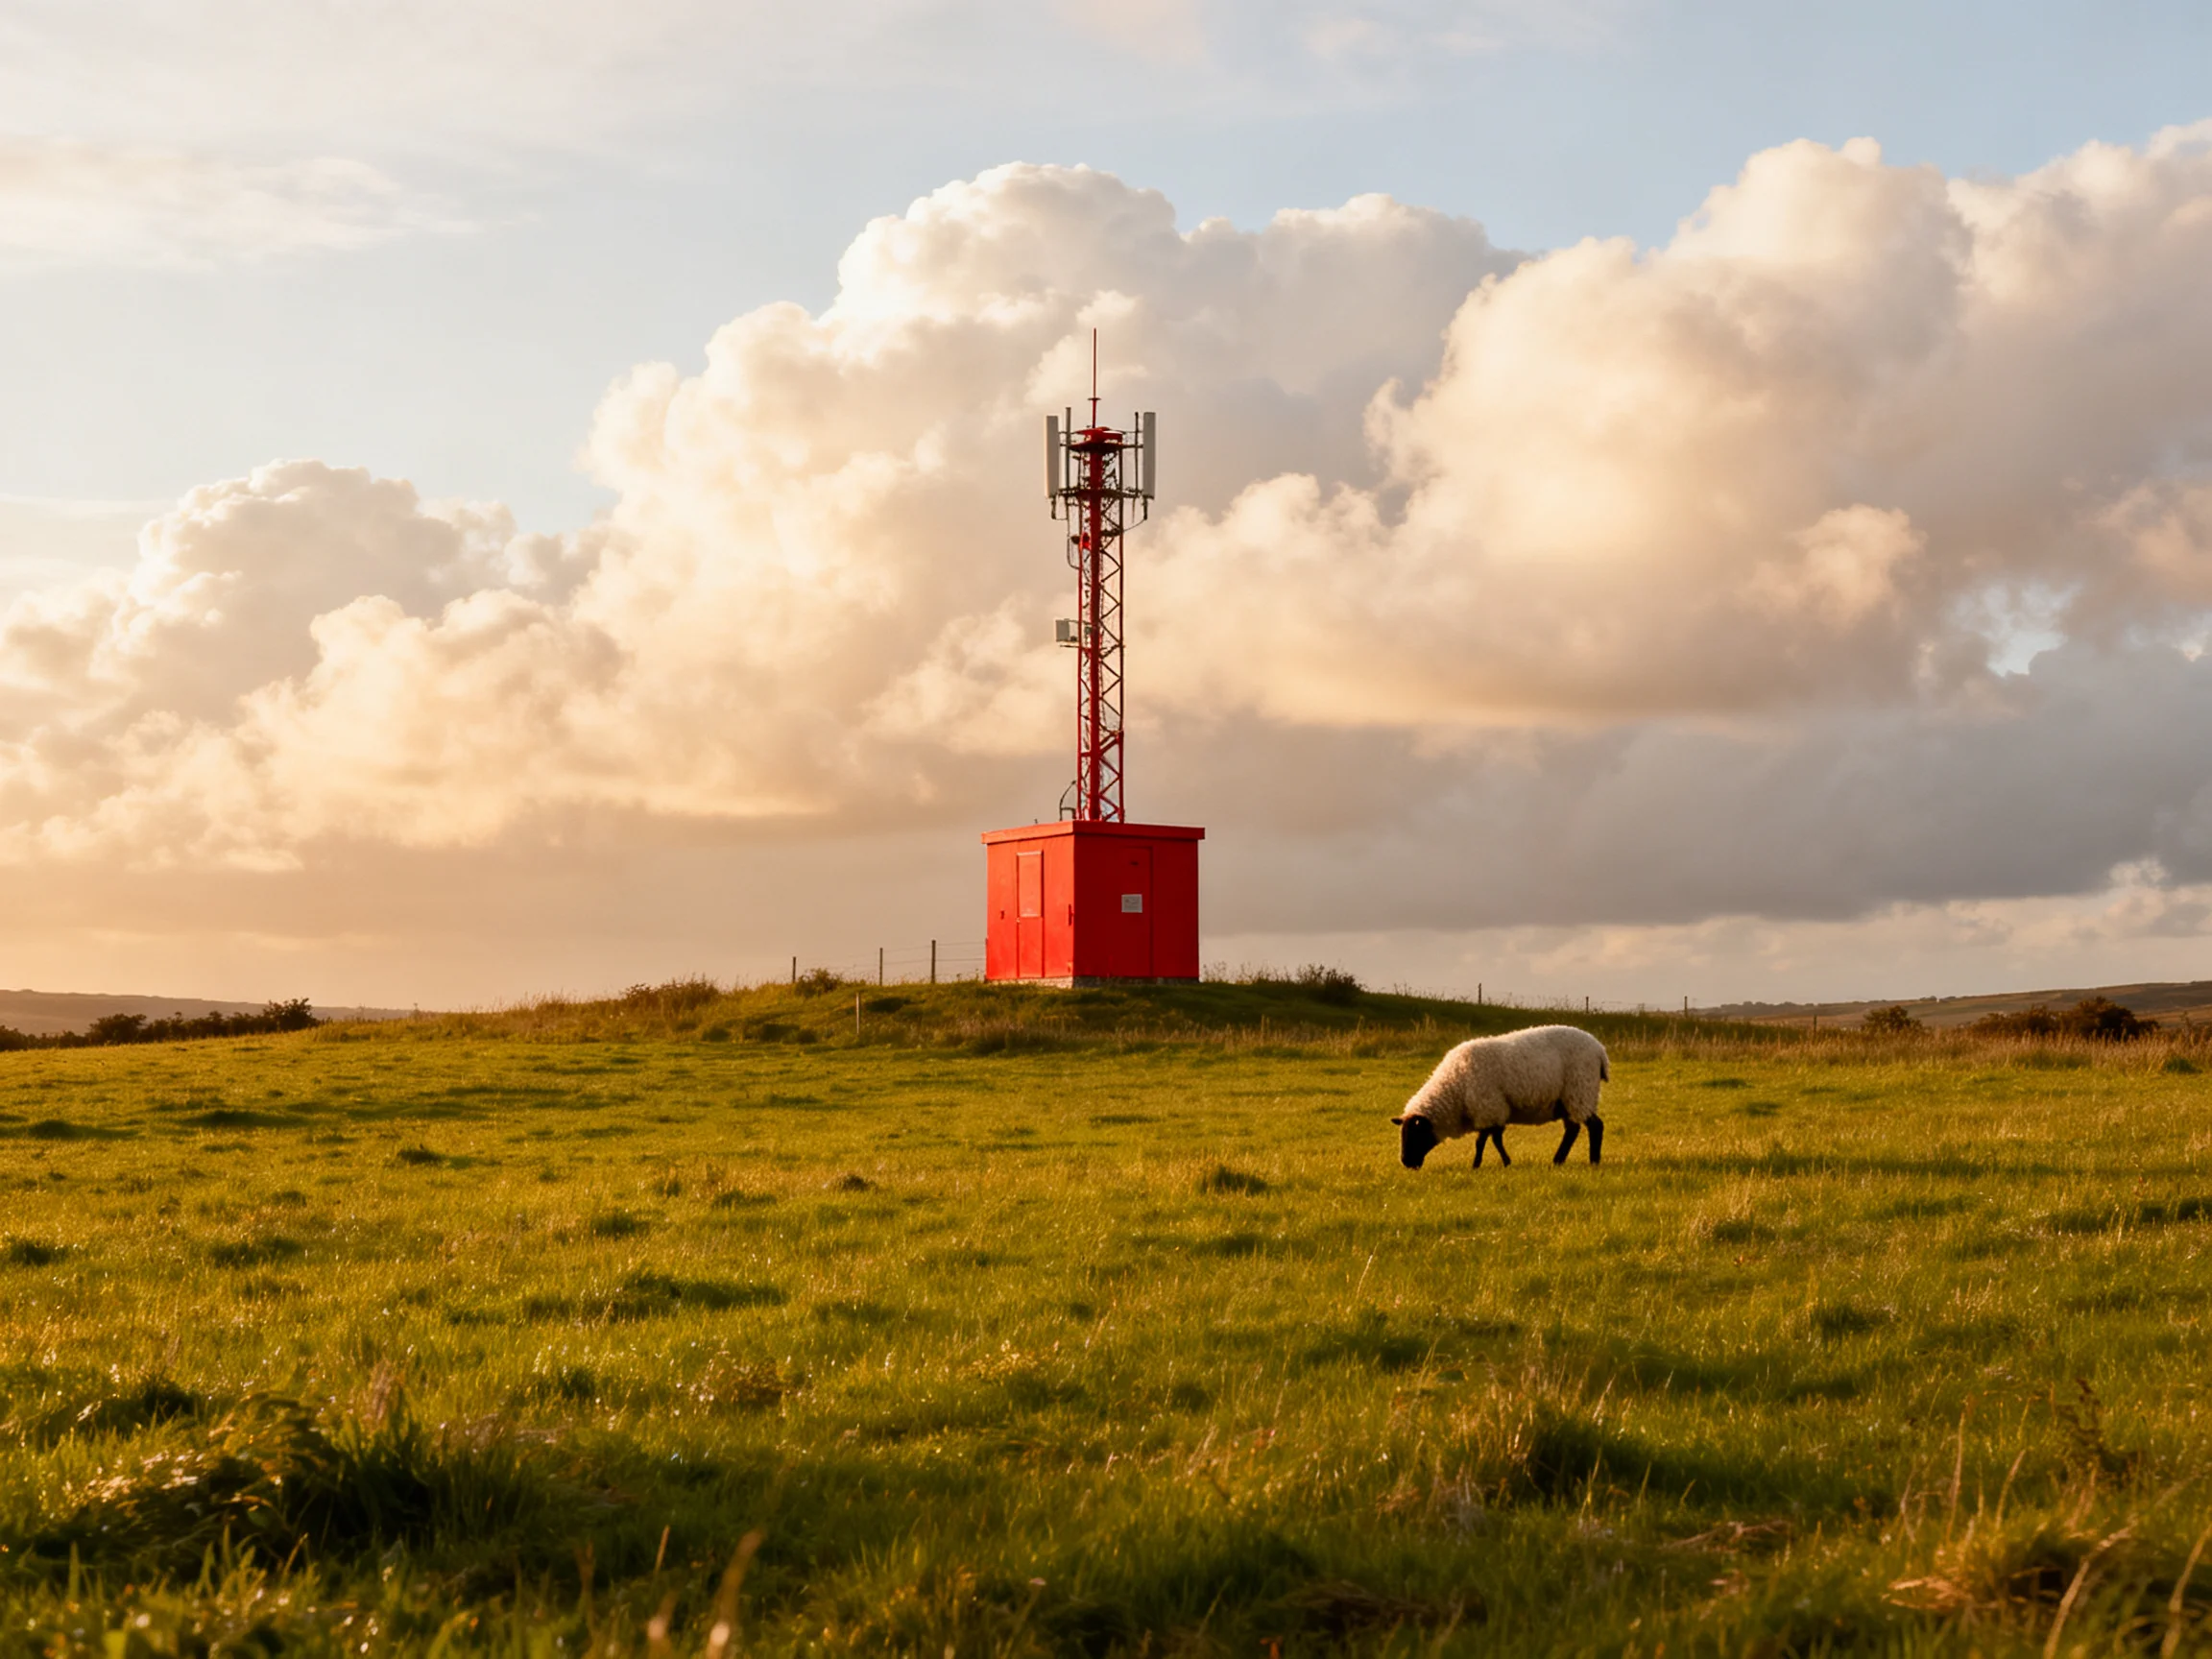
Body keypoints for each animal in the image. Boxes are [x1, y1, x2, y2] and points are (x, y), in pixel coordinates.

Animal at [1391, 1025, 1610, 1170]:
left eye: (1416, 1134)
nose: (1406, 1162)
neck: (1455, 1087)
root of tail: (1600, 1050)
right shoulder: (1488, 1111)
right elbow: (1489, 1139)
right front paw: (1492, 1163)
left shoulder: (1490, 1107)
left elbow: (1487, 1140)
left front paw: (1488, 1164)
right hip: (1567, 1099)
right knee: (1572, 1130)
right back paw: (1558, 1161)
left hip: (1580, 1090)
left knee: (1595, 1126)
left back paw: (1593, 1161)